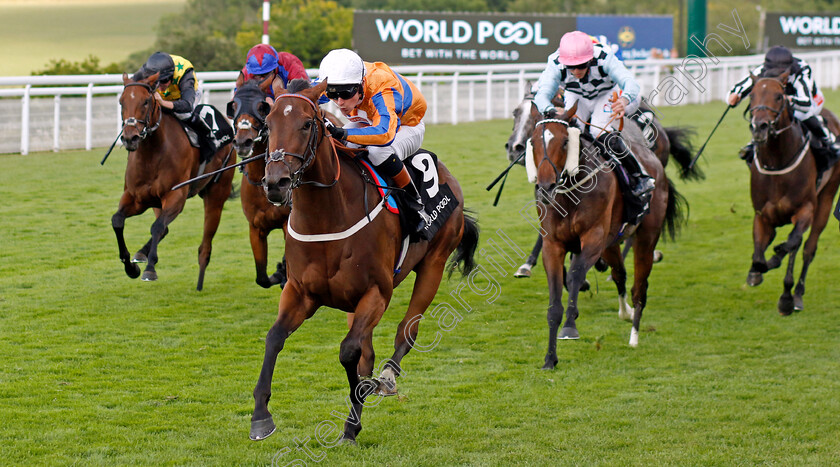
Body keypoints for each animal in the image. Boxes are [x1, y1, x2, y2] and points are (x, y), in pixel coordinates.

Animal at [111, 71, 236, 290]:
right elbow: (117, 220)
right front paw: (131, 267)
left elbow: (157, 227)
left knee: (205, 242)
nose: (130, 138)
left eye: (146, 101)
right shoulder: (136, 198)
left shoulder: (176, 197)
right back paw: (141, 253)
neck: (152, 154)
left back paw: (200, 280)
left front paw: (150, 270)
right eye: (121, 101)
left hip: (217, 194)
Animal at [228, 77, 290, 288]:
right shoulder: (256, 228)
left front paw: (282, 273)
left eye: (261, 107)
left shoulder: (288, 223)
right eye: (234, 105)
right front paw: (277, 274)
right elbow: (262, 278)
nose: (243, 142)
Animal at [249, 81, 480, 446]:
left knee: (406, 332)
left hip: (434, 263)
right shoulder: (300, 292)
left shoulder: (377, 293)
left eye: (307, 124)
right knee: (366, 351)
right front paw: (260, 417)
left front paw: (351, 423)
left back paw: (386, 377)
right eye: (268, 125)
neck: (327, 217)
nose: (275, 183)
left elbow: (348, 351)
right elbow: (276, 338)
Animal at [536, 105, 684, 370]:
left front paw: (570, 327)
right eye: (532, 142)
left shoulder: (593, 239)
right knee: (620, 274)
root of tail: (653, 161)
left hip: (645, 237)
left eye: (565, 142)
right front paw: (550, 358)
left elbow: (574, 275)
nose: (546, 188)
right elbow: (554, 303)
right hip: (611, 243)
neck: (570, 195)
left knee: (639, 288)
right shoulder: (552, 245)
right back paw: (625, 312)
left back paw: (634, 335)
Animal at [740, 73, 840, 314]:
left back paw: (796, 294)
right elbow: (759, 258)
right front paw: (756, 271)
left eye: (779, 96)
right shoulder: (761, 216)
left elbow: (792, 243)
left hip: (826, 198)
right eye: (752, 95)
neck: (777, 162)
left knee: (807, 248)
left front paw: (786, 297)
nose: (759, 127)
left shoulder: (805, 210)